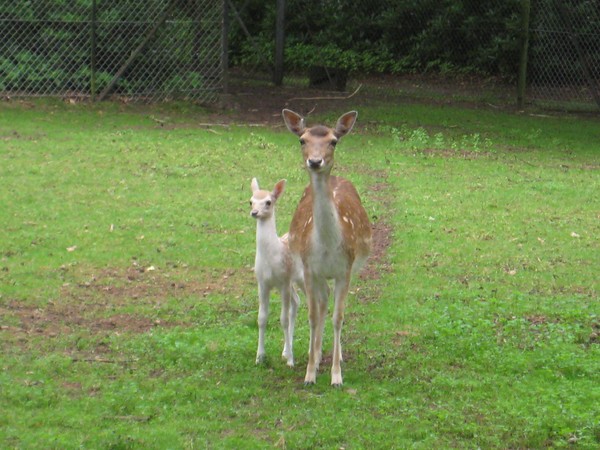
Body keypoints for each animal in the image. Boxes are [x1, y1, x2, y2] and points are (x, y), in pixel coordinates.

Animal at [282, 110, 370, 386]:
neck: (329, 246)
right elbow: (312, 316)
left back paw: (334, 356)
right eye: (302, 139)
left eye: (334, 141)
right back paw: (318, 354)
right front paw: (310, 373)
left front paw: (336, 376)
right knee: (321, 305)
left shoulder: (345, 270)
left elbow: (338, 317)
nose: (315, 161)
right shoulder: (311, 269)